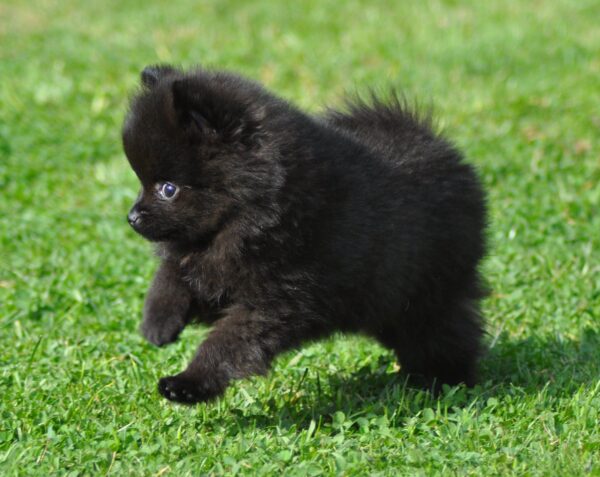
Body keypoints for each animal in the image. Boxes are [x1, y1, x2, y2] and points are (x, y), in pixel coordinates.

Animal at [122, 65, 488, 404]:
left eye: (168, 189)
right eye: (142, 182)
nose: (132, 217)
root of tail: (441, 148)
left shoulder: (275, 301)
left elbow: (227, 344)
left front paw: (188, 383)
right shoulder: (214, 269)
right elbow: (173, 275)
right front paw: (158, 320)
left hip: (430, 295)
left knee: (446, 336)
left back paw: (446, 382)